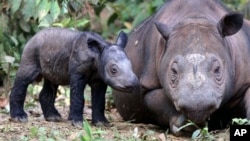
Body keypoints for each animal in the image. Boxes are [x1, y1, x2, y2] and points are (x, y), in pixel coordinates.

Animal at [9, 27, 139, 126]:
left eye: (131, 65)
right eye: (113, 70)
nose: (133, 84)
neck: (97, 55)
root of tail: (34, 36)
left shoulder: (100, 78)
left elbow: (99, 100)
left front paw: (101, 123)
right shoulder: (78, 73)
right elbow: (78, 96)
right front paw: (77, 123)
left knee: (52, 82)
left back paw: (53, 118)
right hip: (32, 49)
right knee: (25, 78)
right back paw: (19, 118)